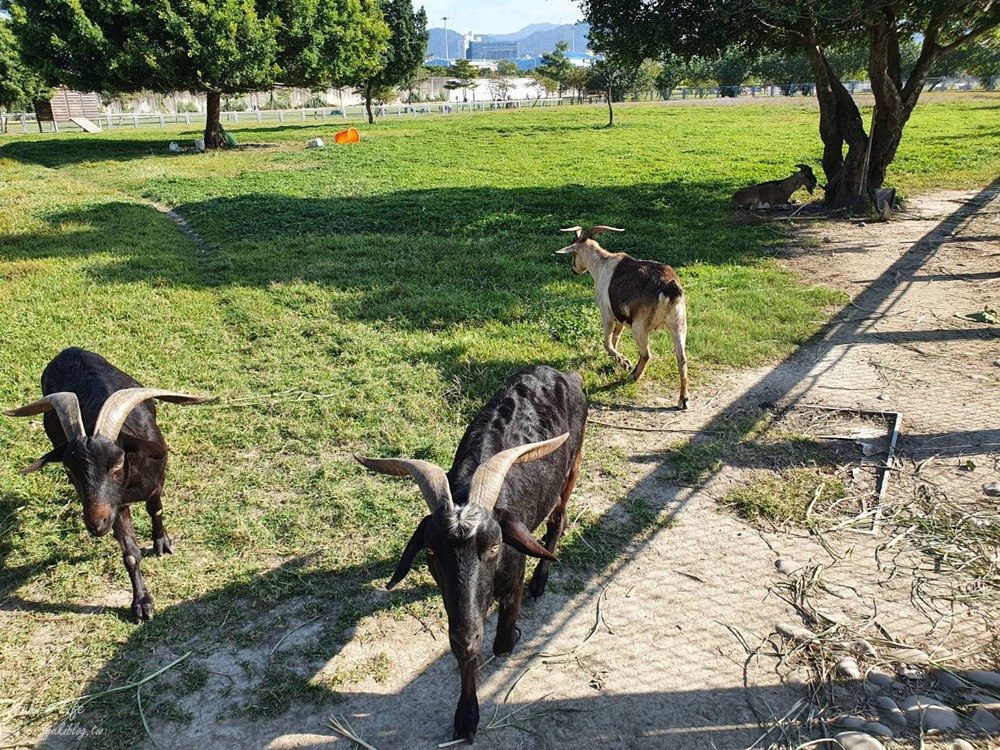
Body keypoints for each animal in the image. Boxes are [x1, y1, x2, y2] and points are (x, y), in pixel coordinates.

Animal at [5, 350, 211, 624]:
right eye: (69, 468)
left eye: (118, 463)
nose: (96, 523)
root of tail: (68, 351)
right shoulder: (116, 506)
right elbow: (131, 553)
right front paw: (141, 604)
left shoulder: (156, 483)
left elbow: (155, 510)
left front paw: (162, 543)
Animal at [356, 368, 584, 744]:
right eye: (431, 551)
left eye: (494, 547)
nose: (466, 636)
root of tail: (564, 374)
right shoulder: (460, 610)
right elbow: (467, 647)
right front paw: (466, 716)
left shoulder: (511, 577)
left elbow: (501, 643)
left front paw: (512, 635)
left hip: (572, 467)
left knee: (558, 518)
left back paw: (541, 581)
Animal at [556, 226, 688, 412]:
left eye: (573, 254)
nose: (574, 269)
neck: (601, 263)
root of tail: (669, 288)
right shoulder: (621, 318)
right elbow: (616, 338)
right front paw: (618, 360)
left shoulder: (607, 314)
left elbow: (607, 342)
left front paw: (624, 362)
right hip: (679, 324)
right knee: (681, 359)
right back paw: (683, 399)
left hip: (640, 327)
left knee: (646, 354)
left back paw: (633, 376)